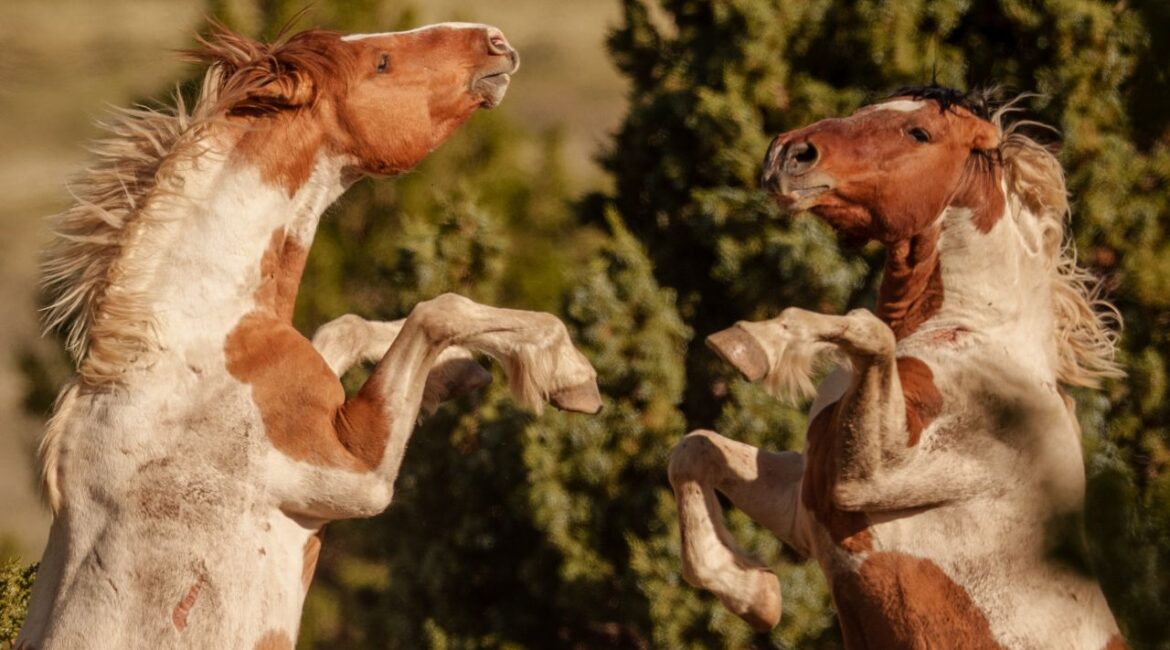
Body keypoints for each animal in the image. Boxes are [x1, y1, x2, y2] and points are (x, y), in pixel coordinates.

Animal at [18, 23, 600, 649]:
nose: (493, 41)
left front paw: (460, 373)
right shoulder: (358, 475)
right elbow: (436, 311)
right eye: (381, 62)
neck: (195, 344)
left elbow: (345, 328)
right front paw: (569, 373)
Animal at [667, 87, 1128, 649]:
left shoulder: (872, 476)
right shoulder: (808, 508)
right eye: (866, 108)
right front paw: (754, 594)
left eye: (919, 133)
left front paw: (757, 342)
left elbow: (868, 330)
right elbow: (693, 450)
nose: (787, 154)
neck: (968, 332)